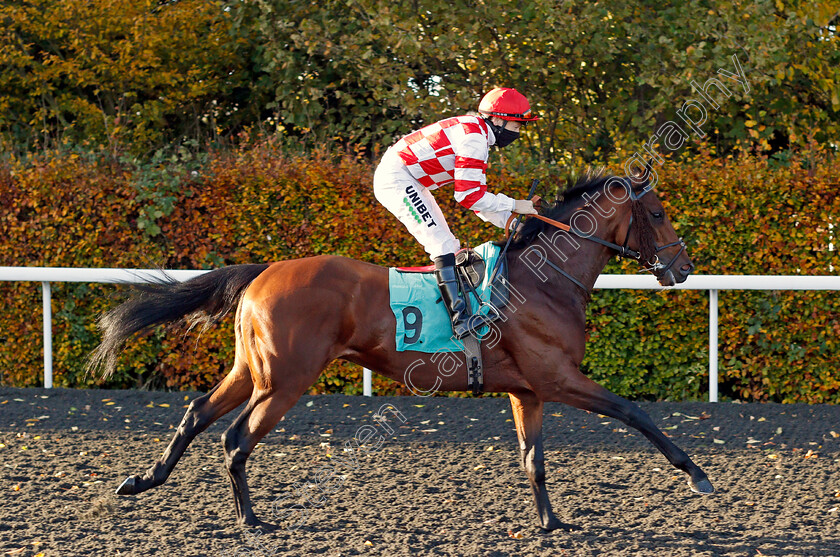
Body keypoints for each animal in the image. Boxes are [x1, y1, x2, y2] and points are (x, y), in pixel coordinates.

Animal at [88, 168, 712, 528]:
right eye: (658, 213)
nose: (682, 268)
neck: (542, 280)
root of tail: (265, 270)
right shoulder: (558, 379)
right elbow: (634, 412)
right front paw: (697, 475)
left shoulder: (528, 391)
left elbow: (532, 459)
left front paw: (551, 524)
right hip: (286, 379)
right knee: (236, 438)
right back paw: (253, 521)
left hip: (253, 370)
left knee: (197, 413)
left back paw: (143, 481)